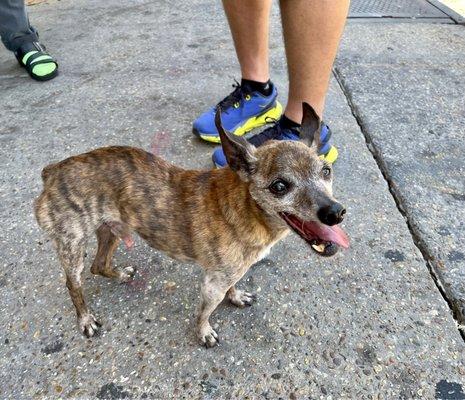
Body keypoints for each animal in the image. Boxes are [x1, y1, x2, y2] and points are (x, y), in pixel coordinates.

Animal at [35, 102, 348, 346]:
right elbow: (204, 312)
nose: (336, 212)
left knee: (98, 265)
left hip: (110, 230)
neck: (246, 208)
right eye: (280, 186)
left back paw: (120, 274)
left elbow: (232, 287)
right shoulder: (212, 284)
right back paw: (85, 318)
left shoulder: (228, 274)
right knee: (73, 283)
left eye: (326, 171)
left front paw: (235, 296)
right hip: (72, 245)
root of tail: (52, 171)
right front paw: (204, 332)